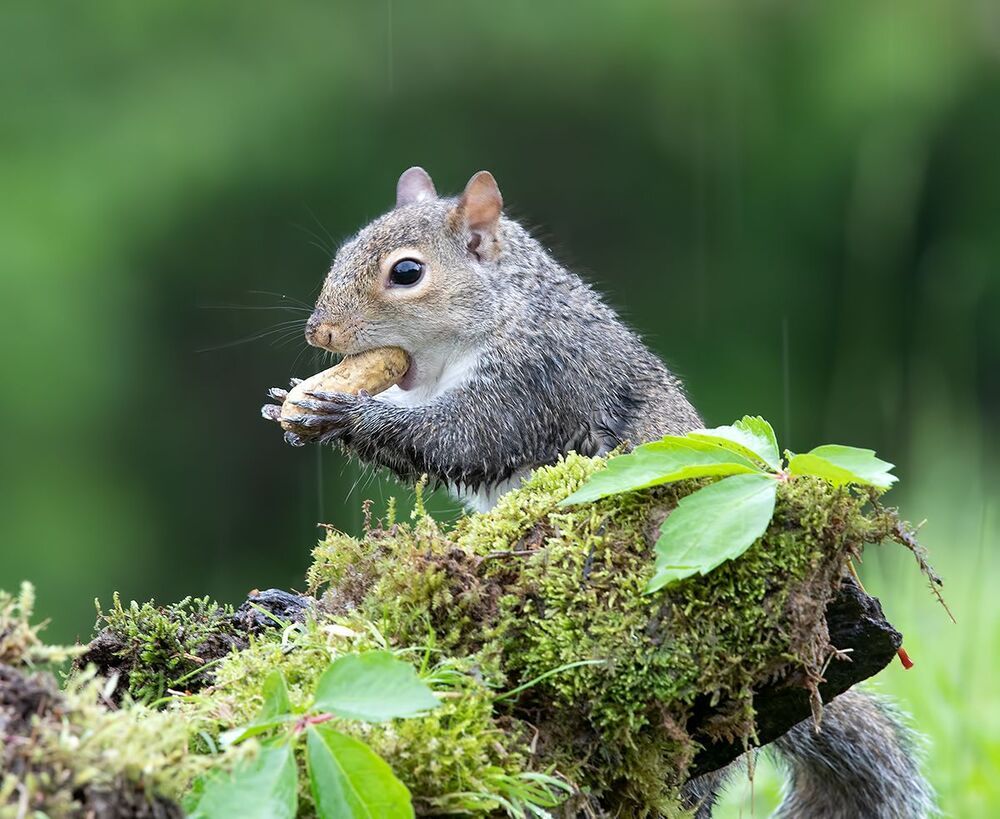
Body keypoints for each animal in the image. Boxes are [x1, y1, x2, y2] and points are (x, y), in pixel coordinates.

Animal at [261, 167, 934, 818]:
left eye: (406, 272)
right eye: (344, 251)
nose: (321, 334)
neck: (503, 307)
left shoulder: (535, 376)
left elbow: (466, 438)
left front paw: (342, 415)